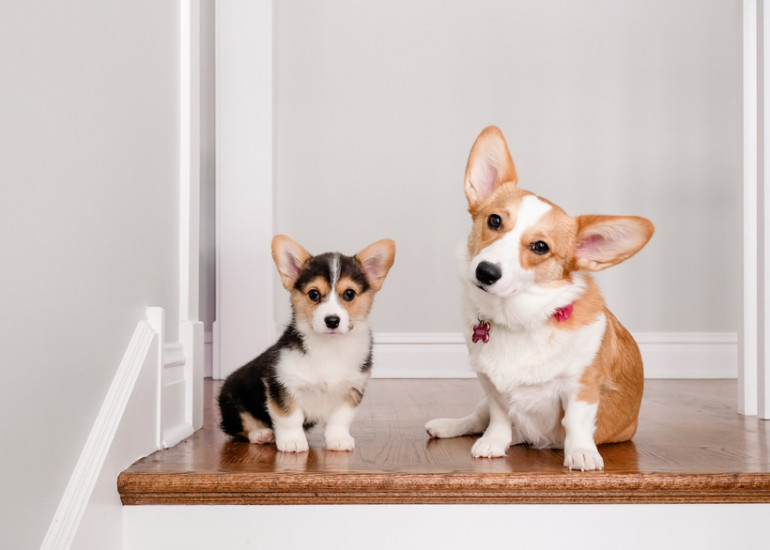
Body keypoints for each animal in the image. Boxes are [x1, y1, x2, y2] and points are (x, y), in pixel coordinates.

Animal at [218, 235, 392, 454]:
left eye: (350, 294)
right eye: (314, 294)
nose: (332, 320)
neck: (330, 347)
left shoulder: (351, 389)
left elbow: (340, 419)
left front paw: (339, 440)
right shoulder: (282, 384)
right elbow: (289, 417)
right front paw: (292, 442)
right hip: (232, 397)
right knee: (238, 426)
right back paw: (262, 434)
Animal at [424, 127, 652, 472]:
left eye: (541, 247)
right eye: (494, 221)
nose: (485, 272)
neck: (518, 317)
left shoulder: (581, 386)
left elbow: (576, 422)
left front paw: (581, 453)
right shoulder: (491, 387)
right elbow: (499, 417)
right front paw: (492, 444)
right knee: (477, 419)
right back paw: (447, 426)